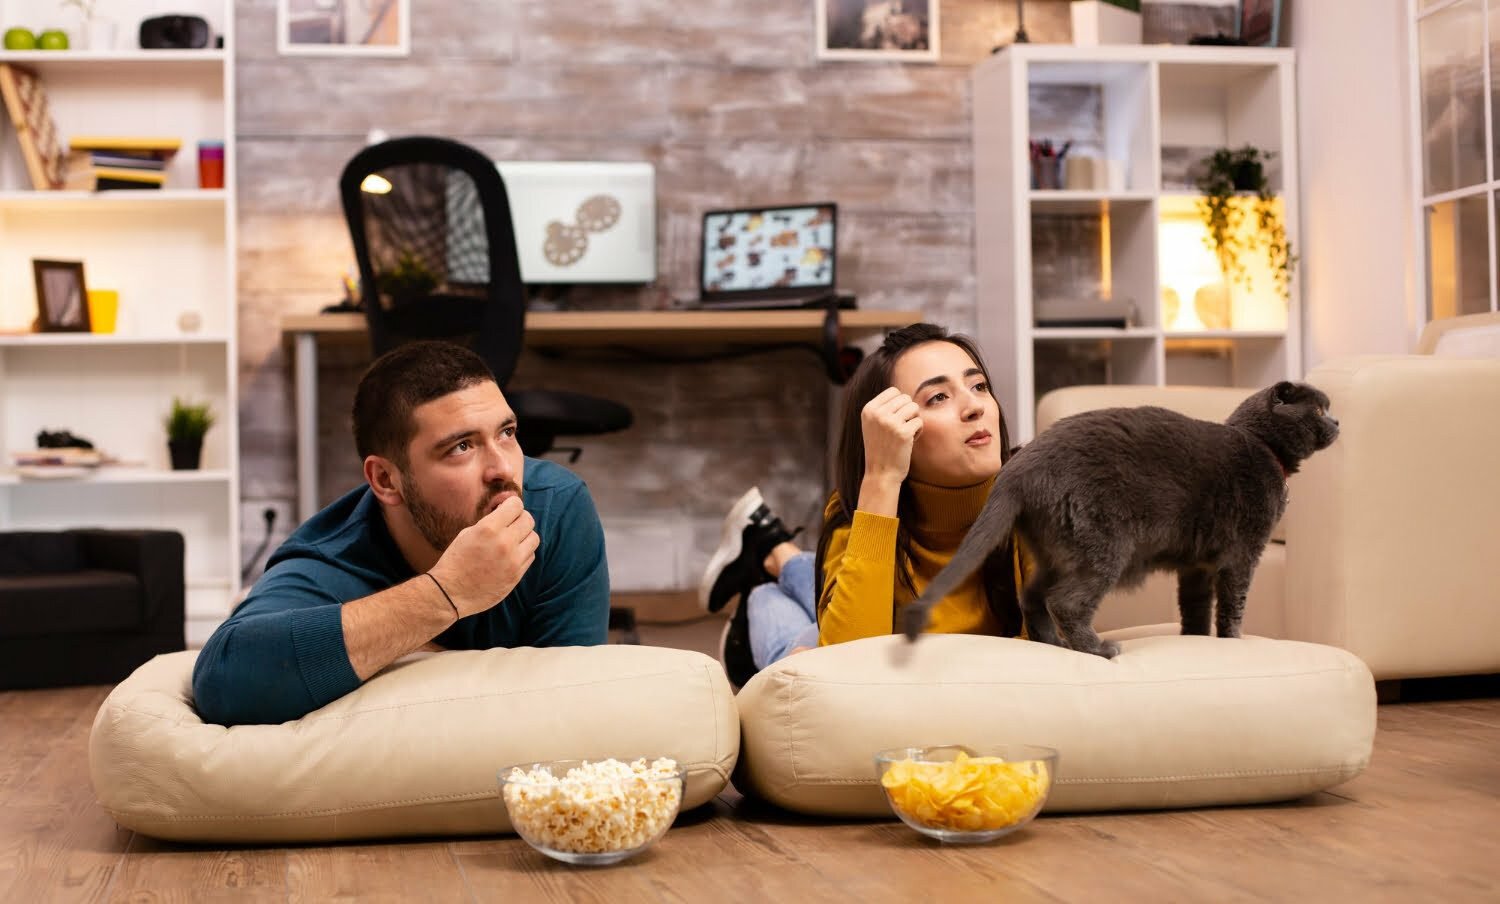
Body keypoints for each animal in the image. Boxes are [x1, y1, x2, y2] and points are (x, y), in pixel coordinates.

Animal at [894, 382, 1344, 656]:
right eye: (1320, 409)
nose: (1338, 421)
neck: (1263, 447)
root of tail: (1018, 469)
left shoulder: (1196, 565)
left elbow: (1196, 607)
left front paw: (1196, 640)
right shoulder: (1242, 554)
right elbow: (1233, 604)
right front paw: (1233, 641)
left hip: (1057, 547)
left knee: (1034, 596)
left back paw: (1053, 644)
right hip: (1102, 545)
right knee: (1066, 601)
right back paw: (1096, 649)